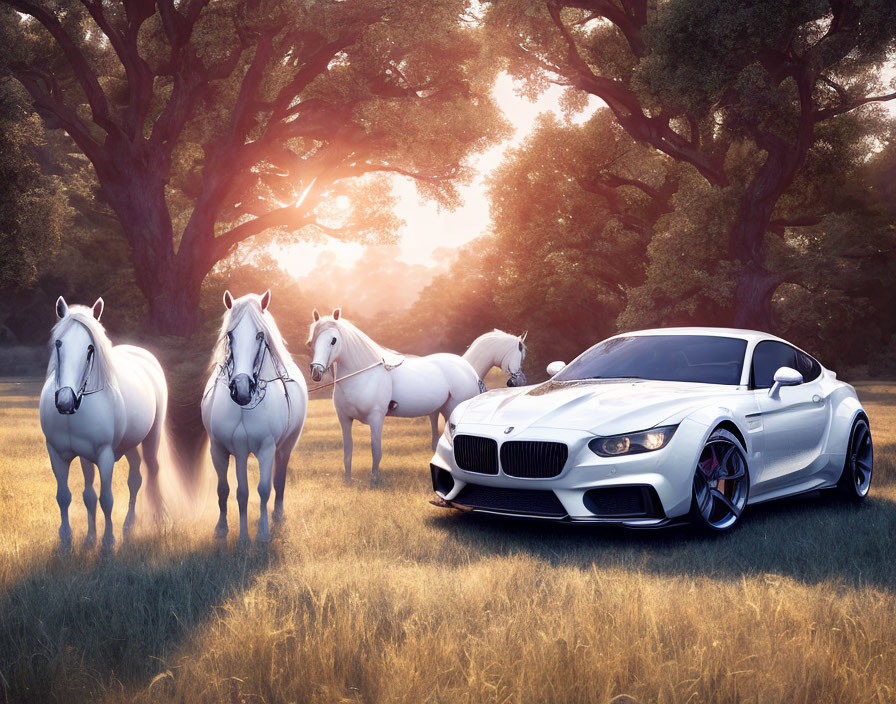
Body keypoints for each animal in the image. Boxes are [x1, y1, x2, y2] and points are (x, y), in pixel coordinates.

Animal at [39, 296, 168, 552]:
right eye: (59, 343)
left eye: (91, 348)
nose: (66, 400)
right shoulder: (59, 454)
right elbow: (70, 496)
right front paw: (73, 540)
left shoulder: (105, 454)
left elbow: (106, 499)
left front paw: (108, 542)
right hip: (129, 447)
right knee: (134, 480)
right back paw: (127, 526)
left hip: (152, 437)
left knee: (151, 471)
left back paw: (156, 521)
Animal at [200, 288, 308, 540]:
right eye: (230, 334)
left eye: (259, 335)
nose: (241, 388)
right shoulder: (225, 450)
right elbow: (230, 490)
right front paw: (227, 531)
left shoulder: (267, 449)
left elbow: (264, 489)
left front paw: (262, 532)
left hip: (285, 447)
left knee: (279, 481)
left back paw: (277, 516)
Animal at [308, 308, 484, 484]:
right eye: (312, 341)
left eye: (333, 340)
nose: (316, 372)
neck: (364, 375)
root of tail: (470, 370)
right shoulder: (344, 418)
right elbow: (348, 450)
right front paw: (348, 481)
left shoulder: (376, 418)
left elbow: (376, 450)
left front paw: (374, 481)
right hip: (440, 410)